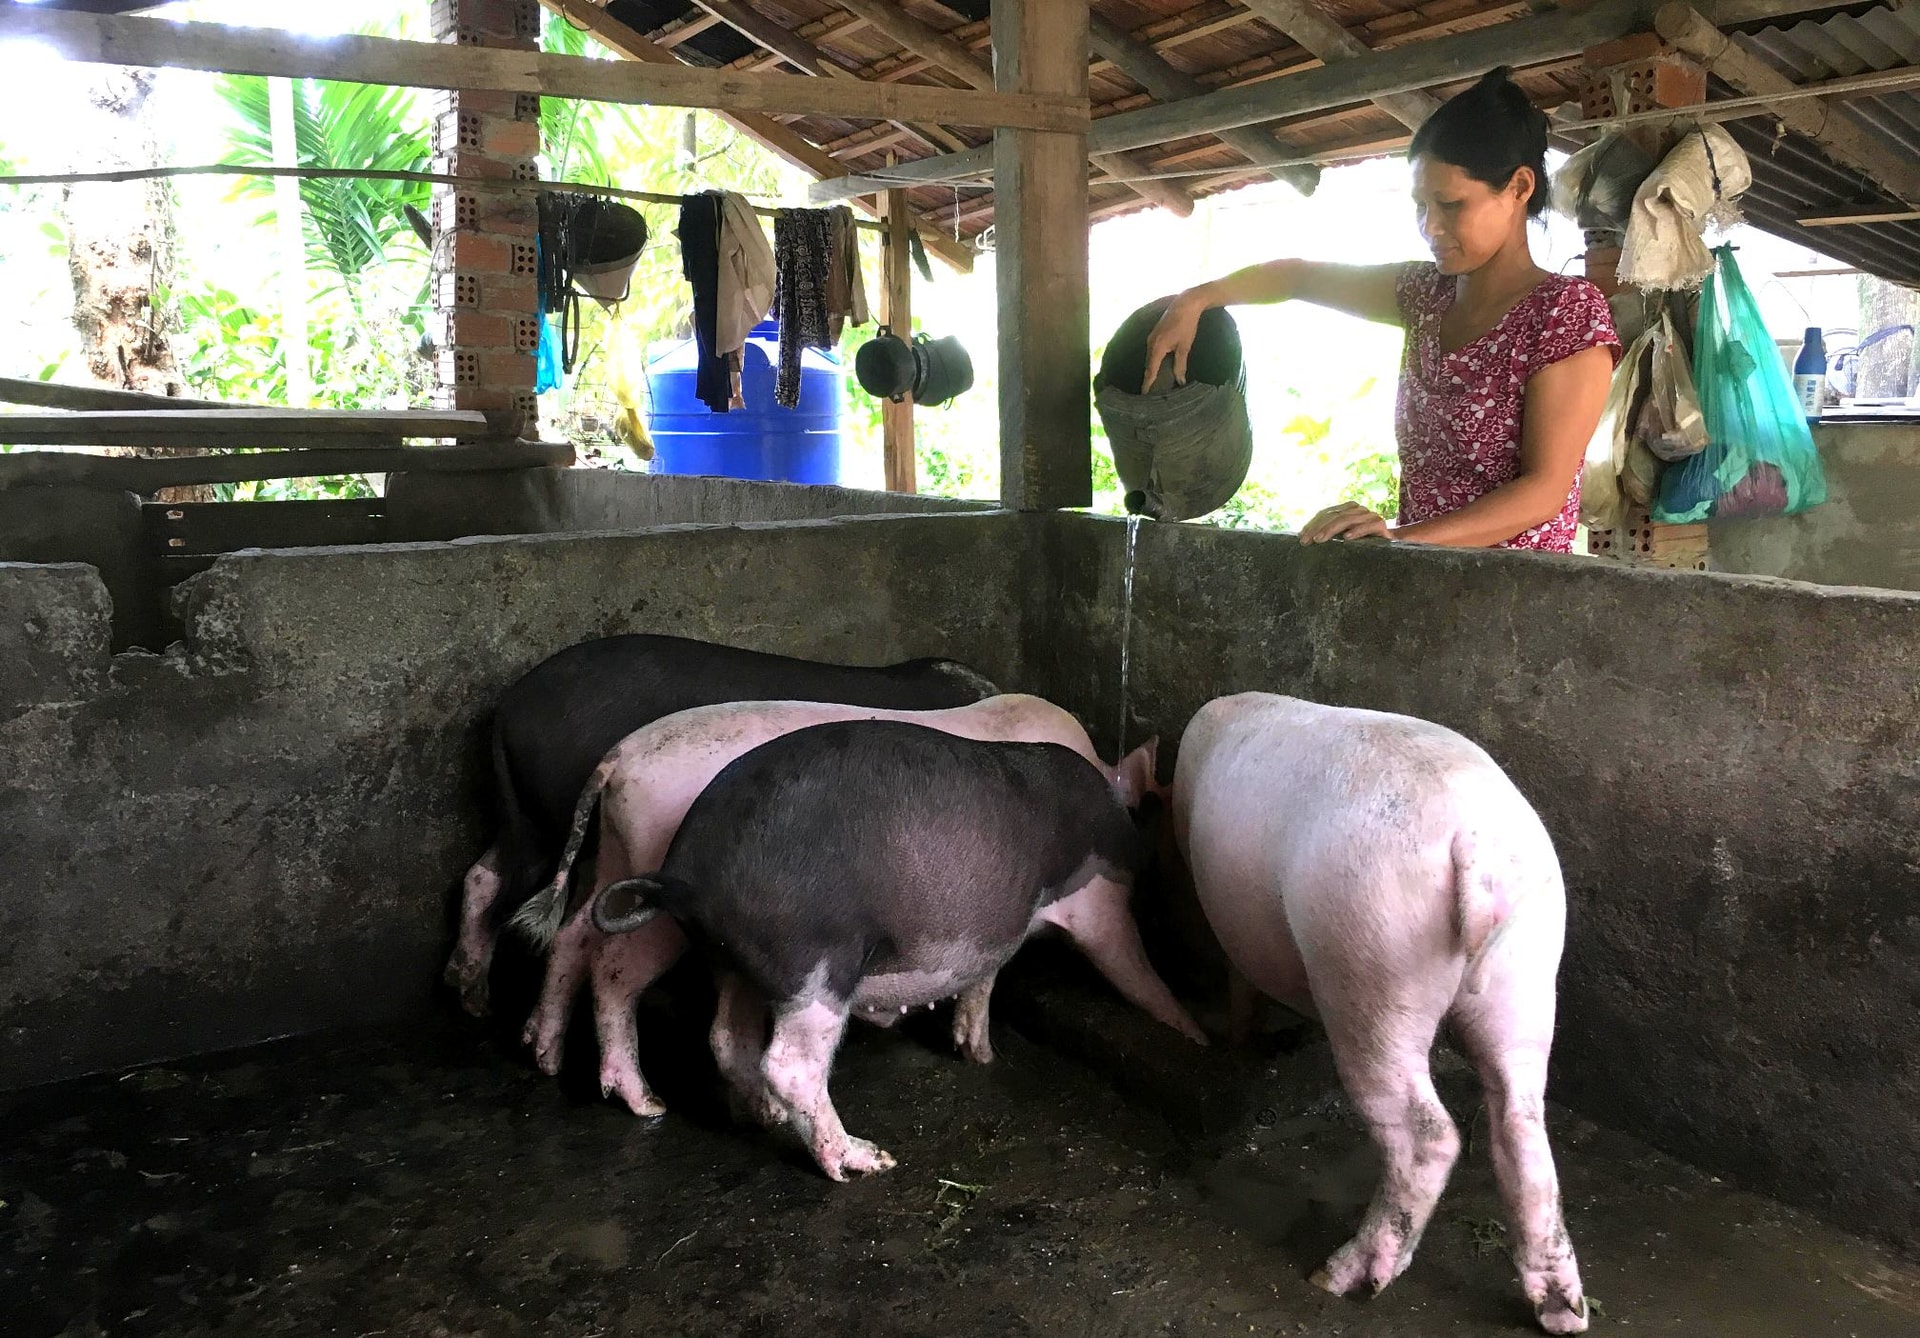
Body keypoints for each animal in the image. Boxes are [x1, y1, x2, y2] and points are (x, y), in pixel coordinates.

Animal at [510, 694, 1198, 1113]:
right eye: (1154, 812)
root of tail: (617, 758)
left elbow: (987, 976)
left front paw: (976, 1053)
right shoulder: (1092, 901)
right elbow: (1130, 968)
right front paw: (1196, 1036)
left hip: (616, 854)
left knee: (573, 936)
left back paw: (543, 1054)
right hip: (655, 888)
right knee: (615, 969)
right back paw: (644, 1102)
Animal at [1175, 694, 1582, 1328]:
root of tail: (1477, 843)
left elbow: (1236, 972)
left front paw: (1235, 1037)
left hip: (1370, 951)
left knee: (1426, 1133)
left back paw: (1338, 1278)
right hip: (1529, 970)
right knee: (1522, 1120)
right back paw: (1564, 1312)